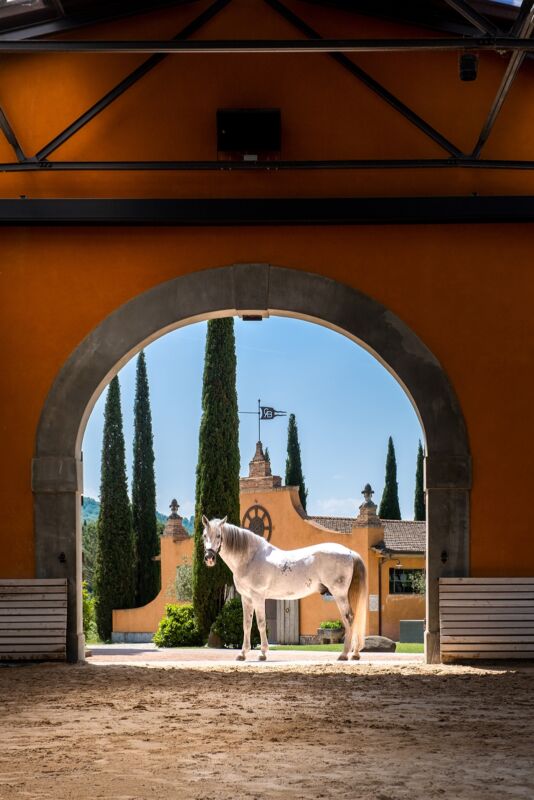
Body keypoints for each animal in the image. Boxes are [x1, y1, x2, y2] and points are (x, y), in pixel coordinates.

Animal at [202, 515, 367, 662]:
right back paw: (355, 654)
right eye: (204, 536)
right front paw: (242, 654)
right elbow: (246, 625)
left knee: (349, 618)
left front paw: (262, 653)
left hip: (339, 594)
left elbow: (261, 623)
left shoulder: (258, 597)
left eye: (219, 535)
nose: (209, 558)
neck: (251, 558)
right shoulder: (246, 598)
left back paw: (344, 654)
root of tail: (350, 552)